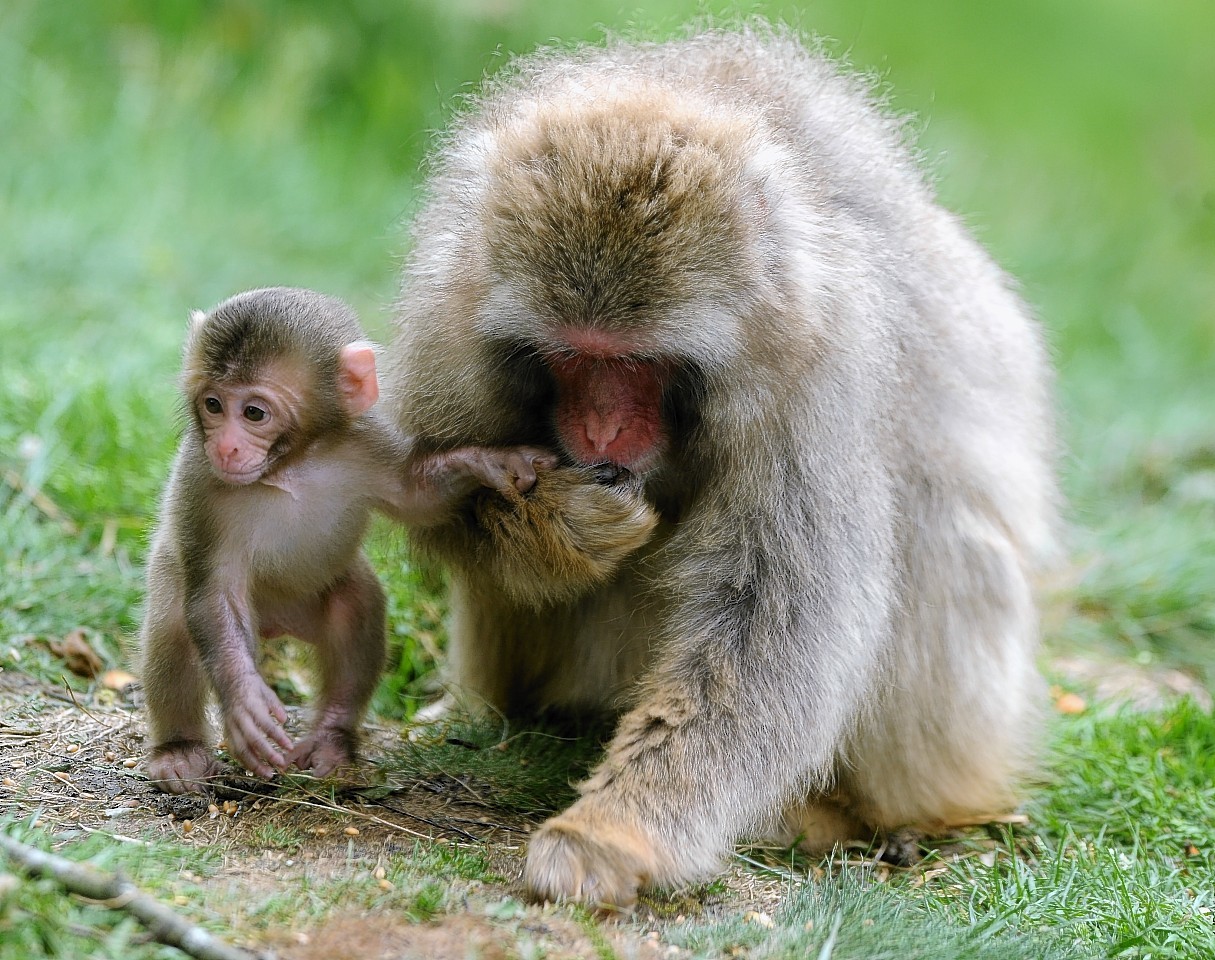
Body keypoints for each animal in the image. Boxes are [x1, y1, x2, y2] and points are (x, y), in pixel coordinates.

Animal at [139, 288, 551, 797]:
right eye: (213, 405)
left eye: (253, 413)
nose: (225, 447)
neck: (291, 465)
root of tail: (275, 625)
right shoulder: (201, 482)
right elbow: (214, 591)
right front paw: (244, 698)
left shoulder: (363, 441)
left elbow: (418, 495)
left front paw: (494, 462)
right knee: (177, 622)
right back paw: (178, 750)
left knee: (356, 604)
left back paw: (332, 740)